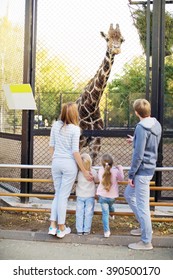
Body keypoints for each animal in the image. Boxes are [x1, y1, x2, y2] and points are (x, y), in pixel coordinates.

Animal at [76, 24, 124, 164]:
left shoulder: (96, 142)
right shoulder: (79, 141)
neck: (92, 105)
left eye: (122, 40)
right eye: (107, 39)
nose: (116, 49)